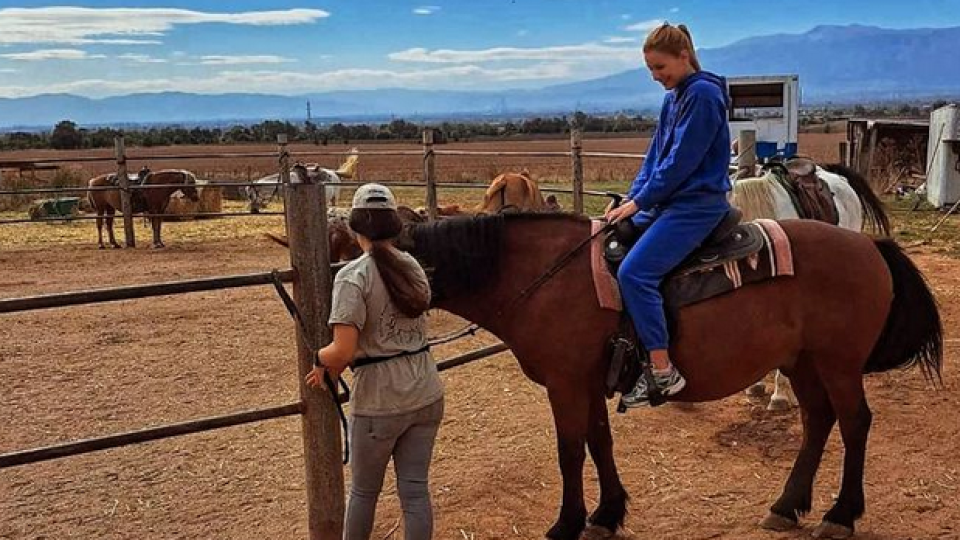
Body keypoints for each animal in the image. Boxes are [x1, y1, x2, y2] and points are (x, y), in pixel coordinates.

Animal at [408, 213, 940, 540]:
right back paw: (787, 506)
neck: (545, 277)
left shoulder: (565, 384)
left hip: (838, 363)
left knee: (854, 423)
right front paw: (607, 514)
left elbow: (570, 452)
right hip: (803, 362)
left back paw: (841, 514)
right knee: (818, 422)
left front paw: (568, 522)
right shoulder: (588, 383)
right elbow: (600, 442)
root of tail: (868, 245)